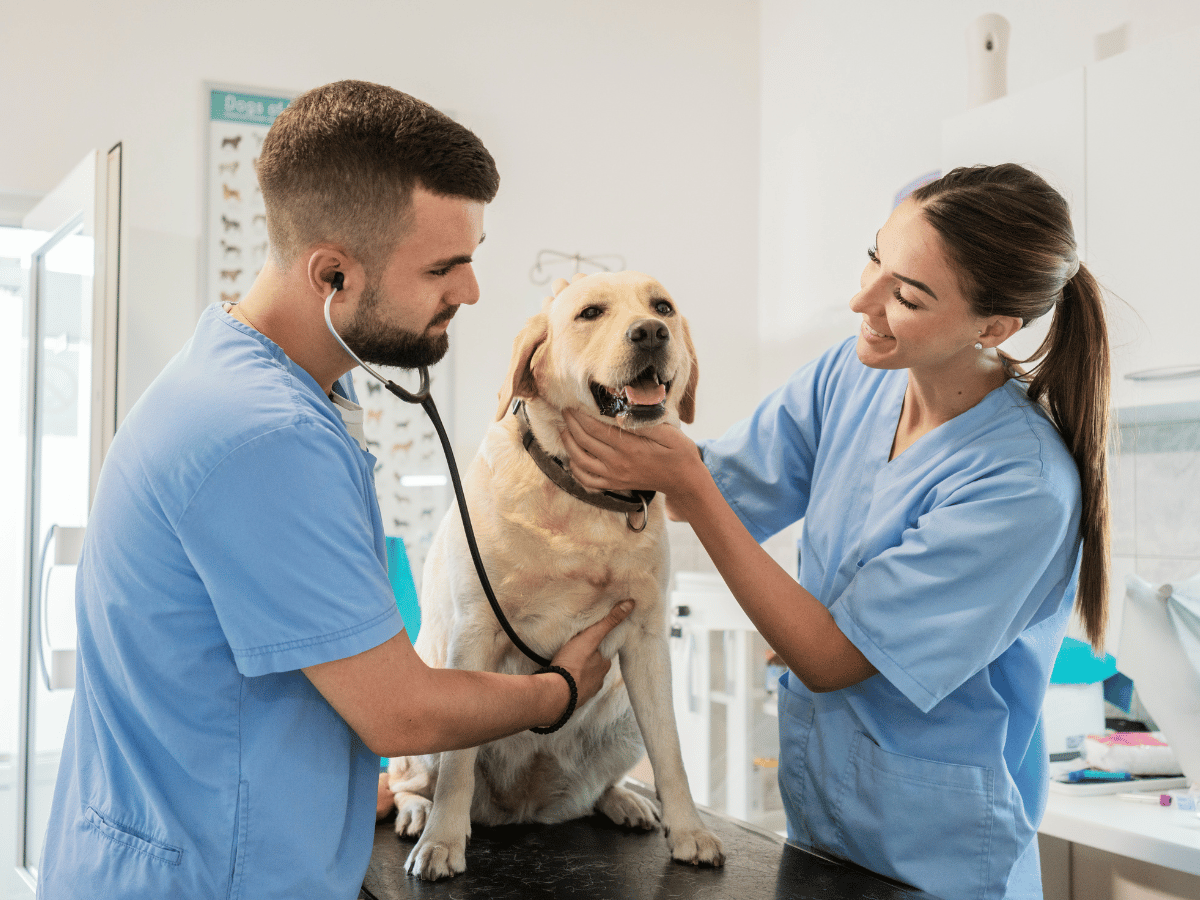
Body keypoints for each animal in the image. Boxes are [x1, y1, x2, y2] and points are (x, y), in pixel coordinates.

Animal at [388, 271, 724, 883]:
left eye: (662, 306)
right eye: (590, 312)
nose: (651, 332)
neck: (584, 497)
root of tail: (519, 807)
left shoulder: (647, 641)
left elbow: (671, 751)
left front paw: (689, 831)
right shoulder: (475, 633)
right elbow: (457, 766)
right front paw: (442, 840)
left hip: (621, 715)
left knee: (600, 786)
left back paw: (623, 801)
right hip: (420, 712)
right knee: (410, 778)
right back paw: (417, 813)